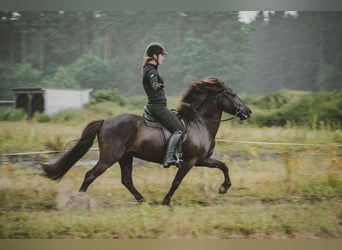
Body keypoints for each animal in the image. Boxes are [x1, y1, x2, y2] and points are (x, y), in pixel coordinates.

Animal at [42, 76, 251, 205]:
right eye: (233, 95)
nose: (248, 112)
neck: (200, 123)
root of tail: (105, 121)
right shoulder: (190, 161)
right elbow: (176, 181)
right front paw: (166, 201)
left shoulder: (202, 160)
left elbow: (223, 166)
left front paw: (224, 188)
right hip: (109, 157)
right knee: (90, 175)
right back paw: (76, 201)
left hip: (125, 157)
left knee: (126, 180)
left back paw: (143, 201)